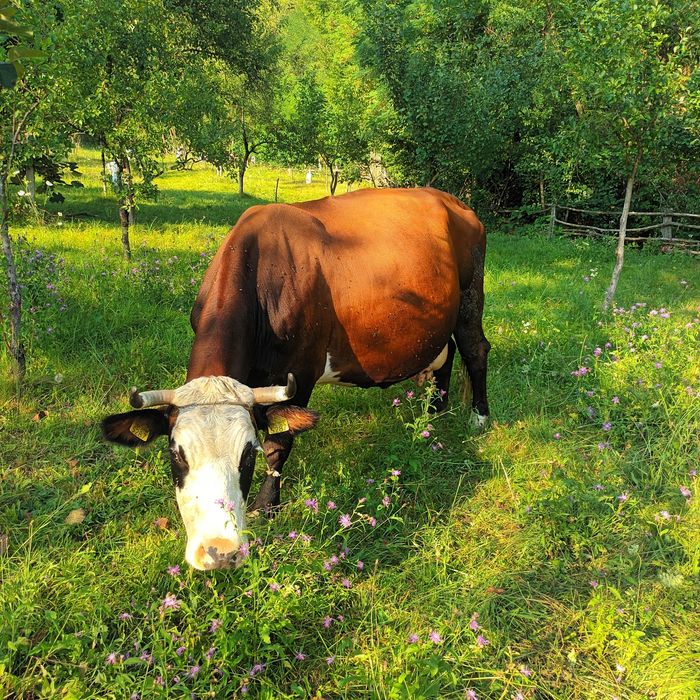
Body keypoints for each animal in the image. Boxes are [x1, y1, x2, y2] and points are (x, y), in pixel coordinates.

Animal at [102, 187, 490, 570]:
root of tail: (455, 203)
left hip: (471, 296)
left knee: (475, 349)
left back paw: (478, 417)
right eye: (176, 454)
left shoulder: (301, 373)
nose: (219, 551)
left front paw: (266, 505)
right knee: (446, 355)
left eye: (248, 454)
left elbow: (280, 443)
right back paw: (434, 415)